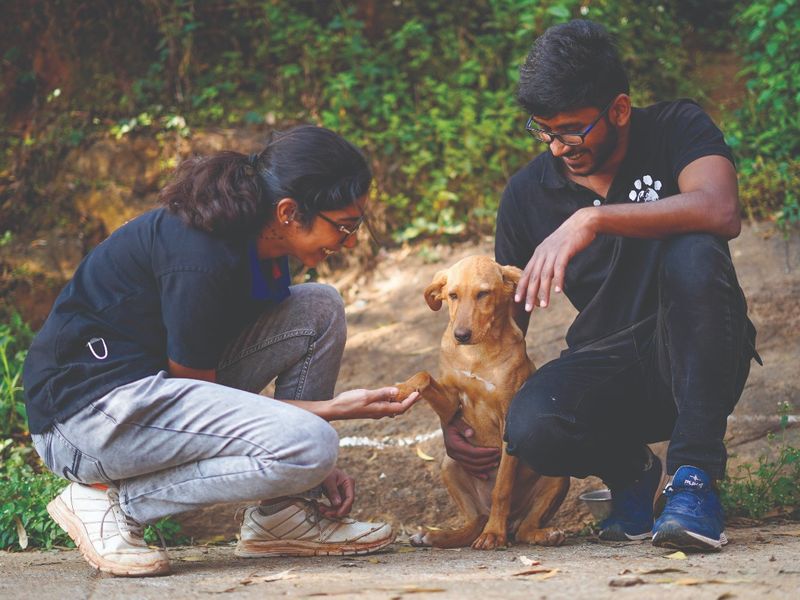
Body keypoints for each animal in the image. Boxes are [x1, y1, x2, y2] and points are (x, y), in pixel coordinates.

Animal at [398, 253, 568, 548]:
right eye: (452, 295)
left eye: (483, 294)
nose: (461, 335)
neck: (476, 354)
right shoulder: (451, 404)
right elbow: (425, 376)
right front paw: (402, 389)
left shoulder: (507, 423)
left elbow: (502, 487)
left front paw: (493, 535)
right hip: (449, 465)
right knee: (471, 523)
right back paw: (436, 535)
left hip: (558, 475)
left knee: (522, 528)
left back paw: (539, 533)